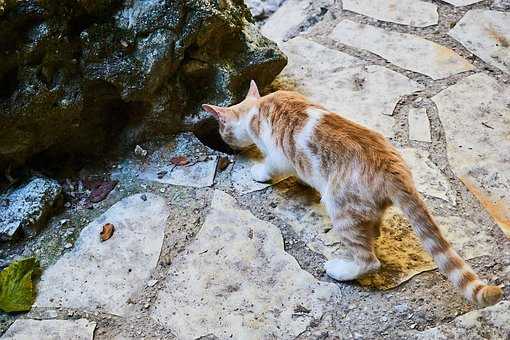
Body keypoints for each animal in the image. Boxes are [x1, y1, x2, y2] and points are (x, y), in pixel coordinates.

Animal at [202, 80, 502, 306]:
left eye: (221, 131)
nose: (225, 145)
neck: (258, 106)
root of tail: (394, 167)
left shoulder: (278, 155)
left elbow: (271, 166)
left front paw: (259, 171)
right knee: (373, 229)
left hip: (340, 209)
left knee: (368, 261)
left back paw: (341, 270)